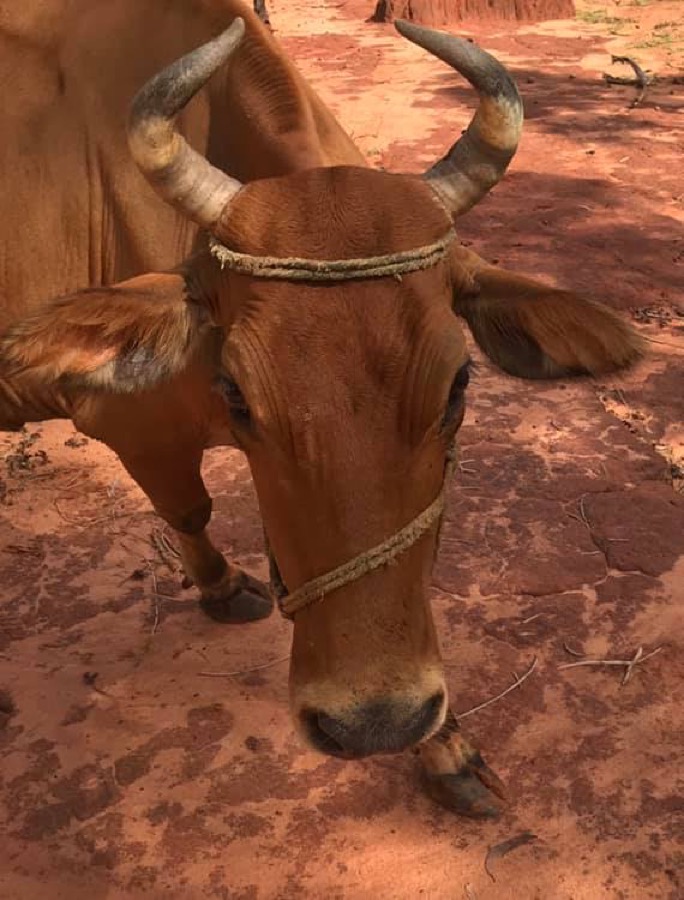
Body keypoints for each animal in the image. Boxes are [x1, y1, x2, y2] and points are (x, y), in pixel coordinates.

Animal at [0, 1, 643, 818]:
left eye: (459, 384)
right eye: (236, 394)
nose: (374, 722)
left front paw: (447, 747)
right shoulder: (130, 424)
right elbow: (189, 509)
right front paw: (220, 587)